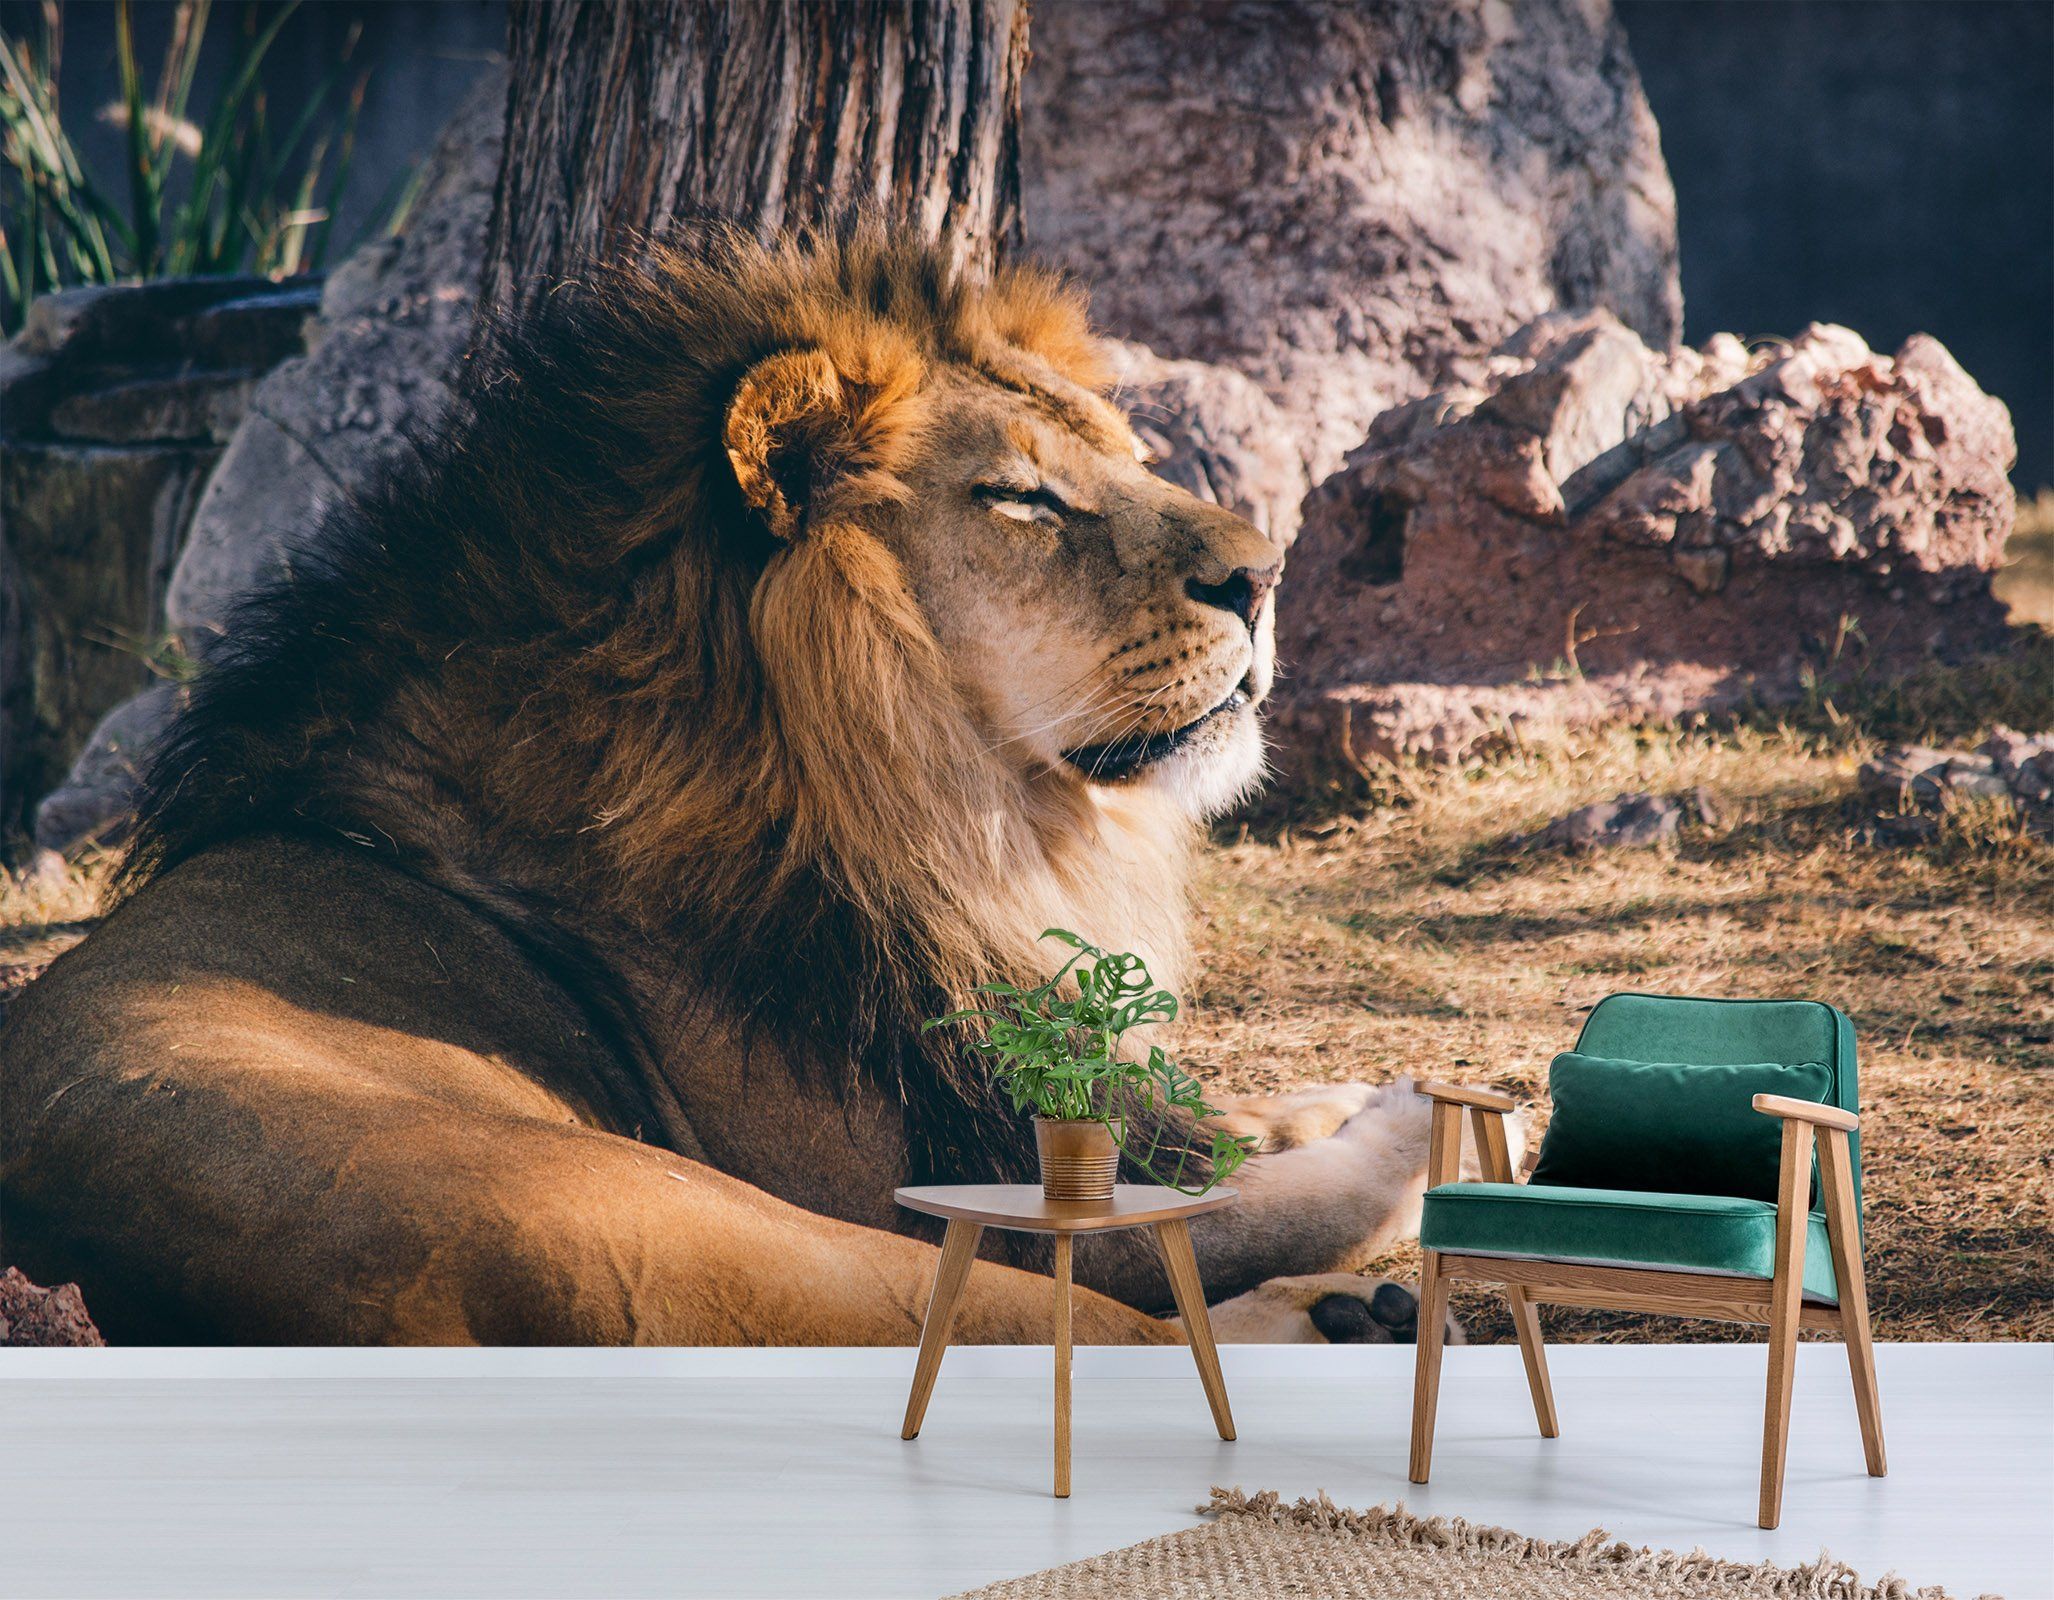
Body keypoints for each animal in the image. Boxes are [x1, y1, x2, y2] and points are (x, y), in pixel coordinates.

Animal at [0, 229, 1483, 1346]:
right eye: (1023, 500)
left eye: (1123, 457)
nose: (1265, 573)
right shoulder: (920, 1162)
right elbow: (1238, 1202)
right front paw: (1406, 1119)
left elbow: (1214, 1127)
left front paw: (1318, 1097)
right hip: (694, 1226)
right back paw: (1345, 1311)